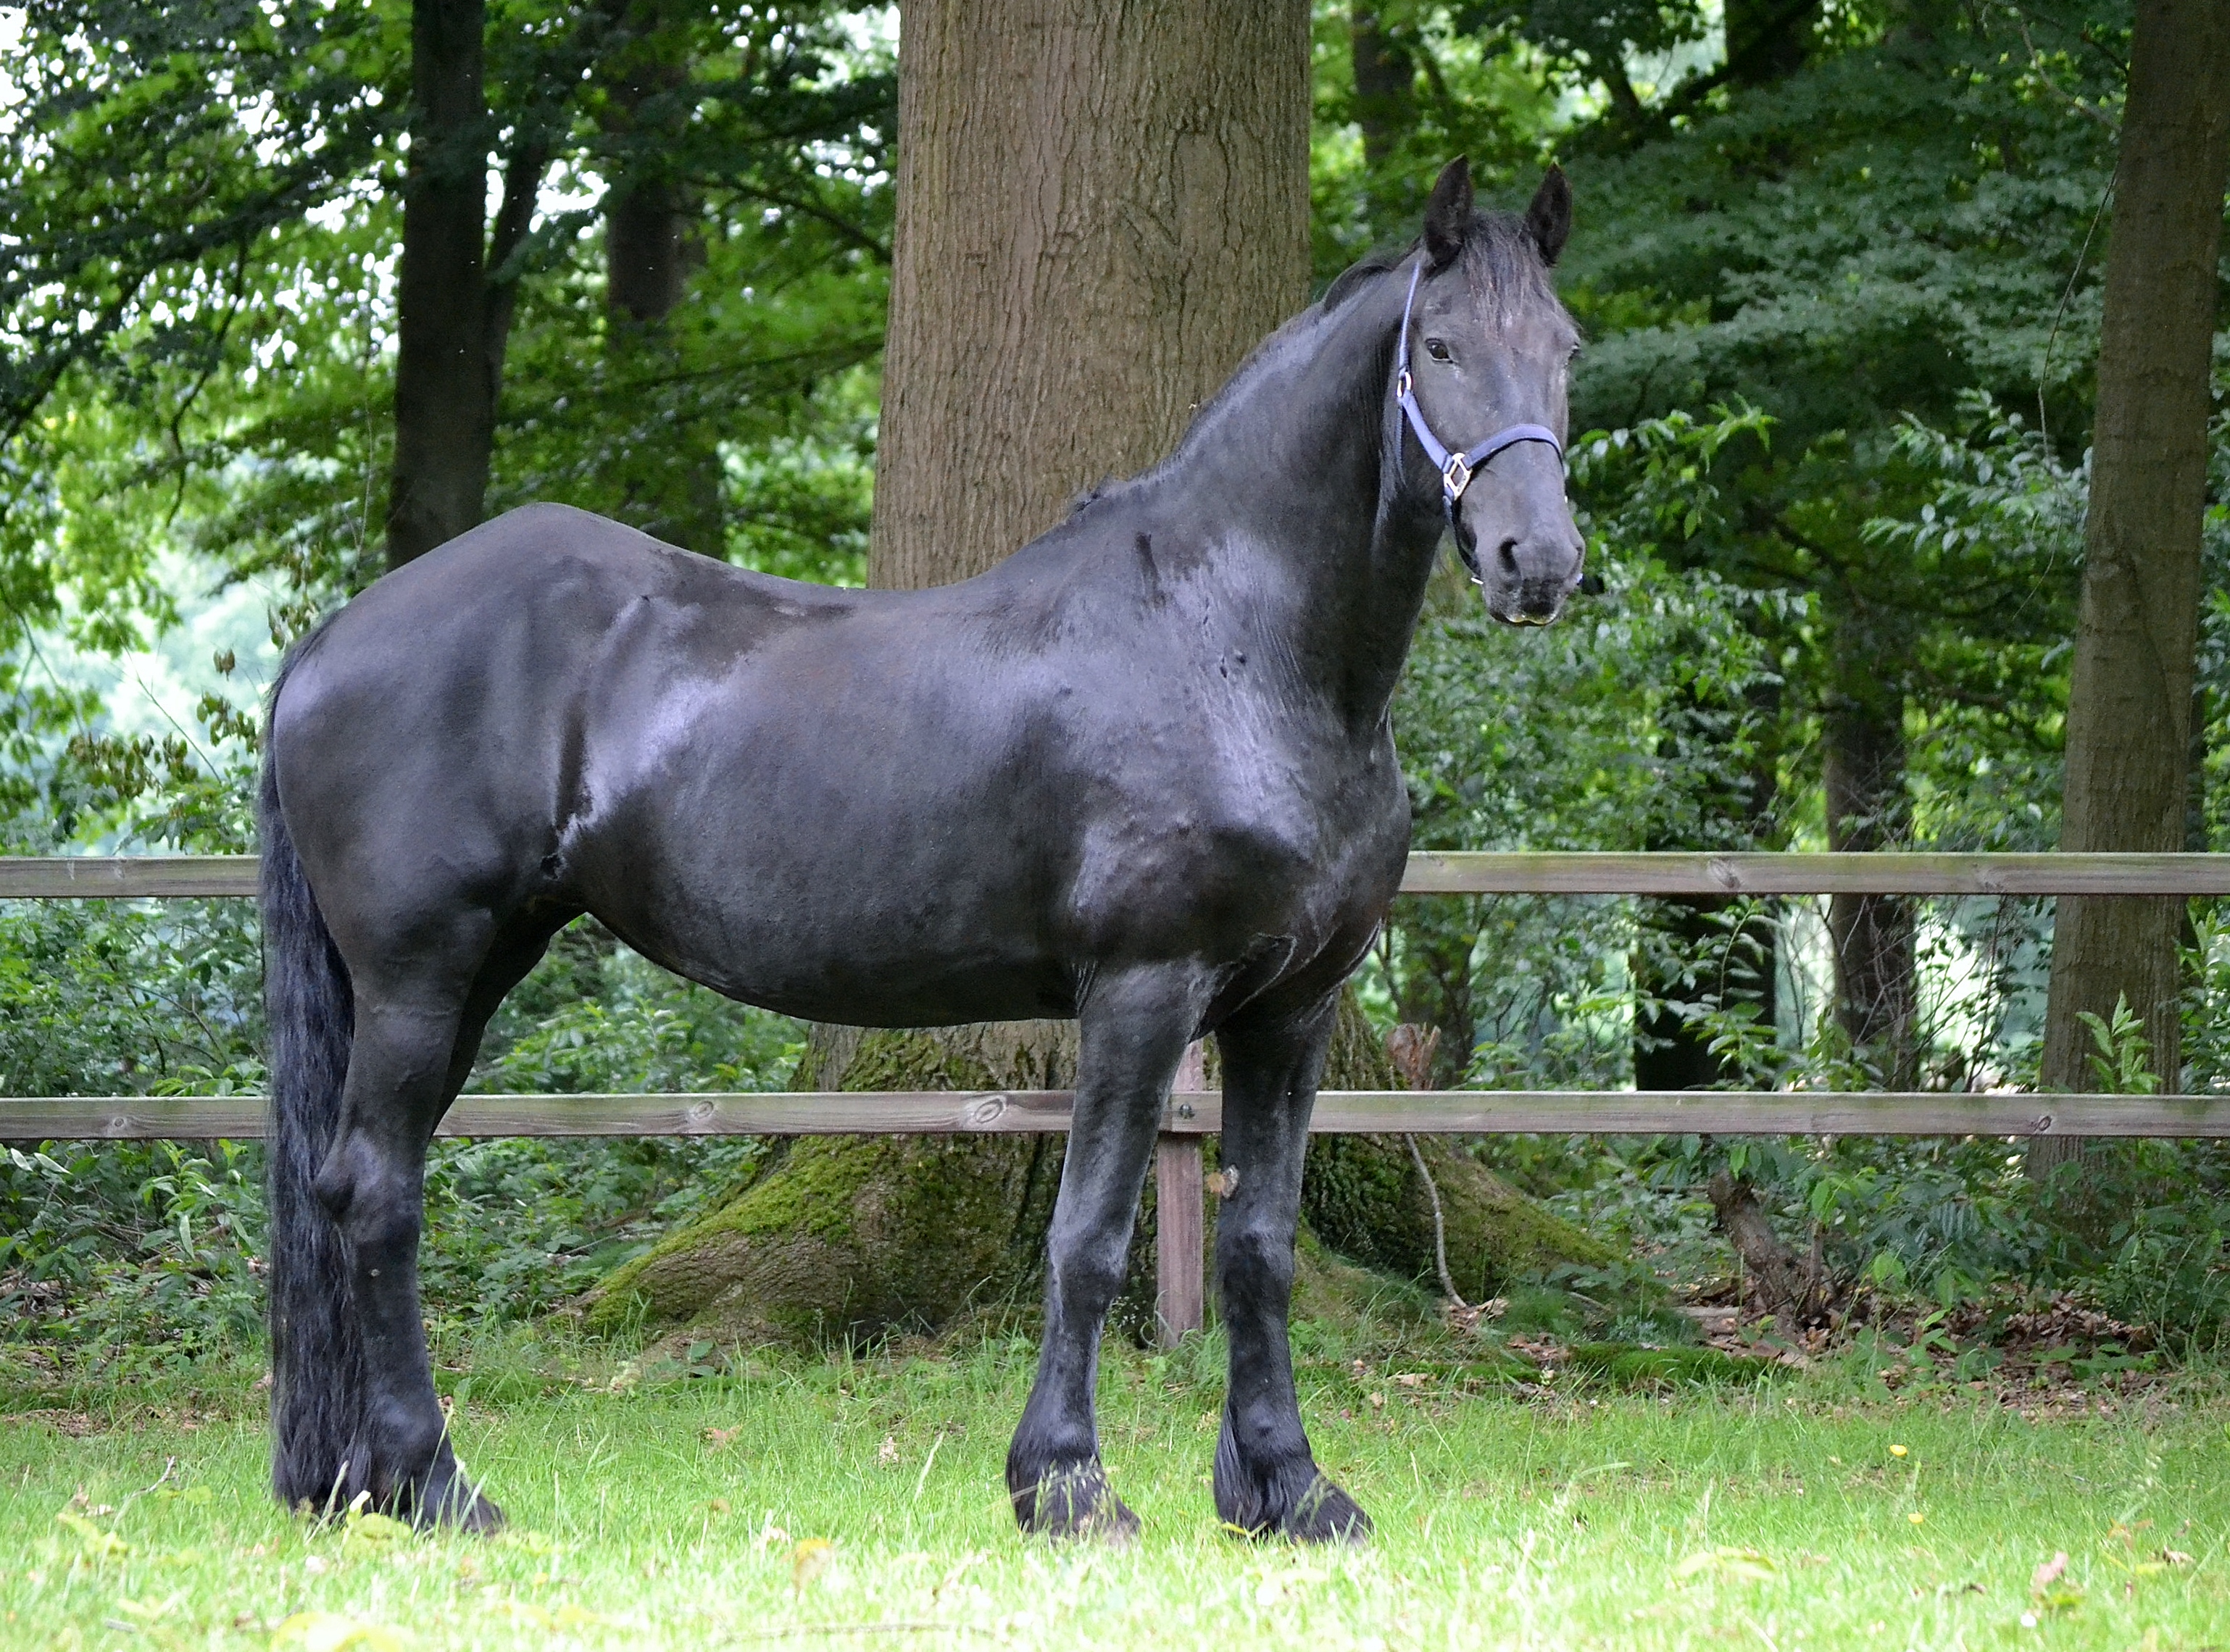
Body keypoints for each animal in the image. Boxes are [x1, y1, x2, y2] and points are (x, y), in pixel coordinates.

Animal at [261, 162, 1587, 1543]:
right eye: (1441, 347)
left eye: (1564, 349)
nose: (1536, 562)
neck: (1229, 642)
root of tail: (333, 639)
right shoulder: (1142, 992)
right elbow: (1087, 1239)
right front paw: (1066, 1487)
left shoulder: (1291, 1007)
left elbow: (1258, 1244)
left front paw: (1290, 1489)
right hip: (421, 978)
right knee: (377, 1191)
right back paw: (435, 1486)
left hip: (465, 976)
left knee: (354, 1186)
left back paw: (363, 1483)